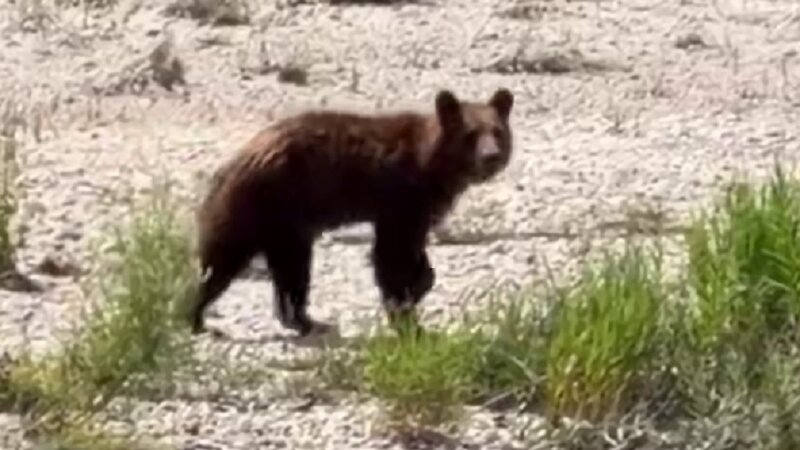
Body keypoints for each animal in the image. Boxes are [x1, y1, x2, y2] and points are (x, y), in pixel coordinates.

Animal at [187, 87, 515, 338]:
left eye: (497, 131)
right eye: (470, 134)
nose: (491, 156)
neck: (431, 166)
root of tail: (233, 161)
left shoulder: (417, 207)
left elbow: (411, 253)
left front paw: (418, 285)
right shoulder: (401, 198)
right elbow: (393, 254)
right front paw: (405, 310)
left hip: (285, 225)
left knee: (291, 269)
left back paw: (302, 319)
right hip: (264, 202)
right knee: (223, 260)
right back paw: (198, 316)